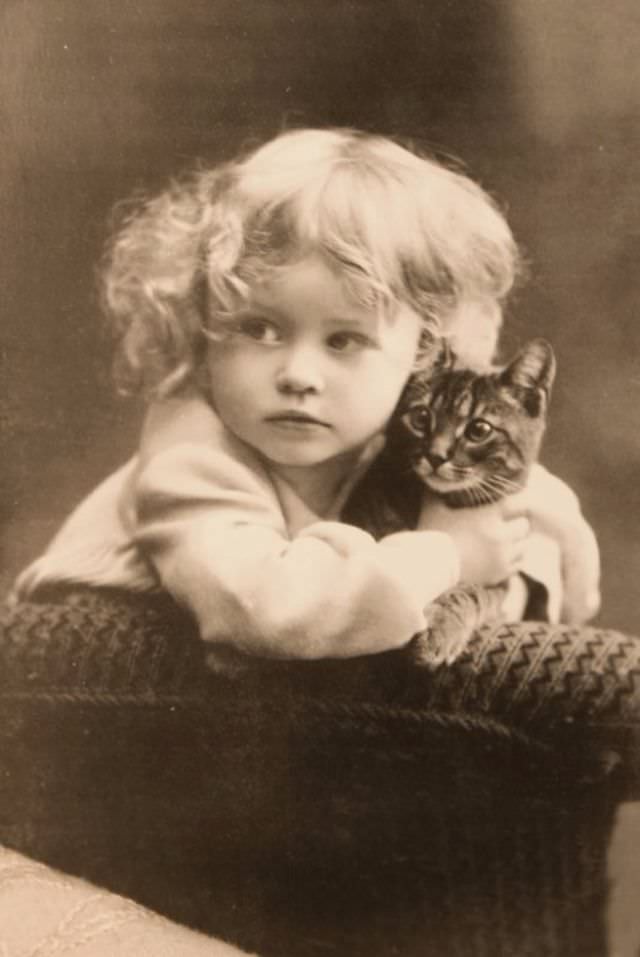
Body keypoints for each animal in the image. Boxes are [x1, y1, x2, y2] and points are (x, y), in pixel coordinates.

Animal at [344, 338, 556, 664]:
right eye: (421, 417)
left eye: (479, 430)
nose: (435, 455)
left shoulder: (501, 580)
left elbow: (469, 591)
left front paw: (440, 627)